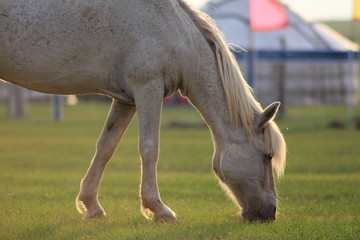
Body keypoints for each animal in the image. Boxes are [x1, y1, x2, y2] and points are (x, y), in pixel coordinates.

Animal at [0, 0, 286, 222]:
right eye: (268, 156)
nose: (269, 213)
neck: (173, 29)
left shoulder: (126, 100)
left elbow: (106, 147)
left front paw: (91, 205)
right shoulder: (148, 88)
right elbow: (149, 148)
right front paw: (158, 209)